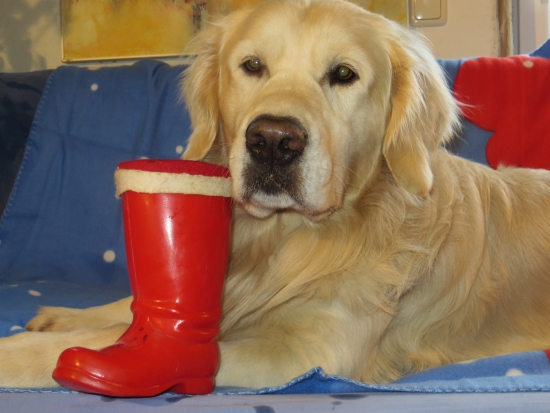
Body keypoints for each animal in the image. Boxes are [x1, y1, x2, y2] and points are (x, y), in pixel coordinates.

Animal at [2, 0, 550, 389]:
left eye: (344, 74)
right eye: (252, 65)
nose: (272, 141)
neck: (285, 240)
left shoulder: (307, 353)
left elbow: (115, 342)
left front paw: (19, 354)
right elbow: (131, 308)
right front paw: (62, 317)